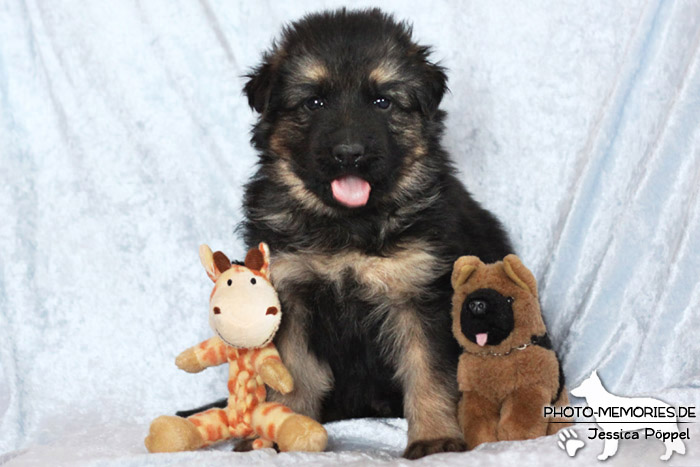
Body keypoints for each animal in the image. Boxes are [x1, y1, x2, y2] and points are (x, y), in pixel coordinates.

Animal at [183, 8, 512, 460]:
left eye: (382, 101)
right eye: (315, 101)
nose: (349, 153)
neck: (348, 225)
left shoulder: (419, 295)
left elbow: (428, 370)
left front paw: (433, 438)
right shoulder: (291, 295)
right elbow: (293, 373)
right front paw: (284, 431)